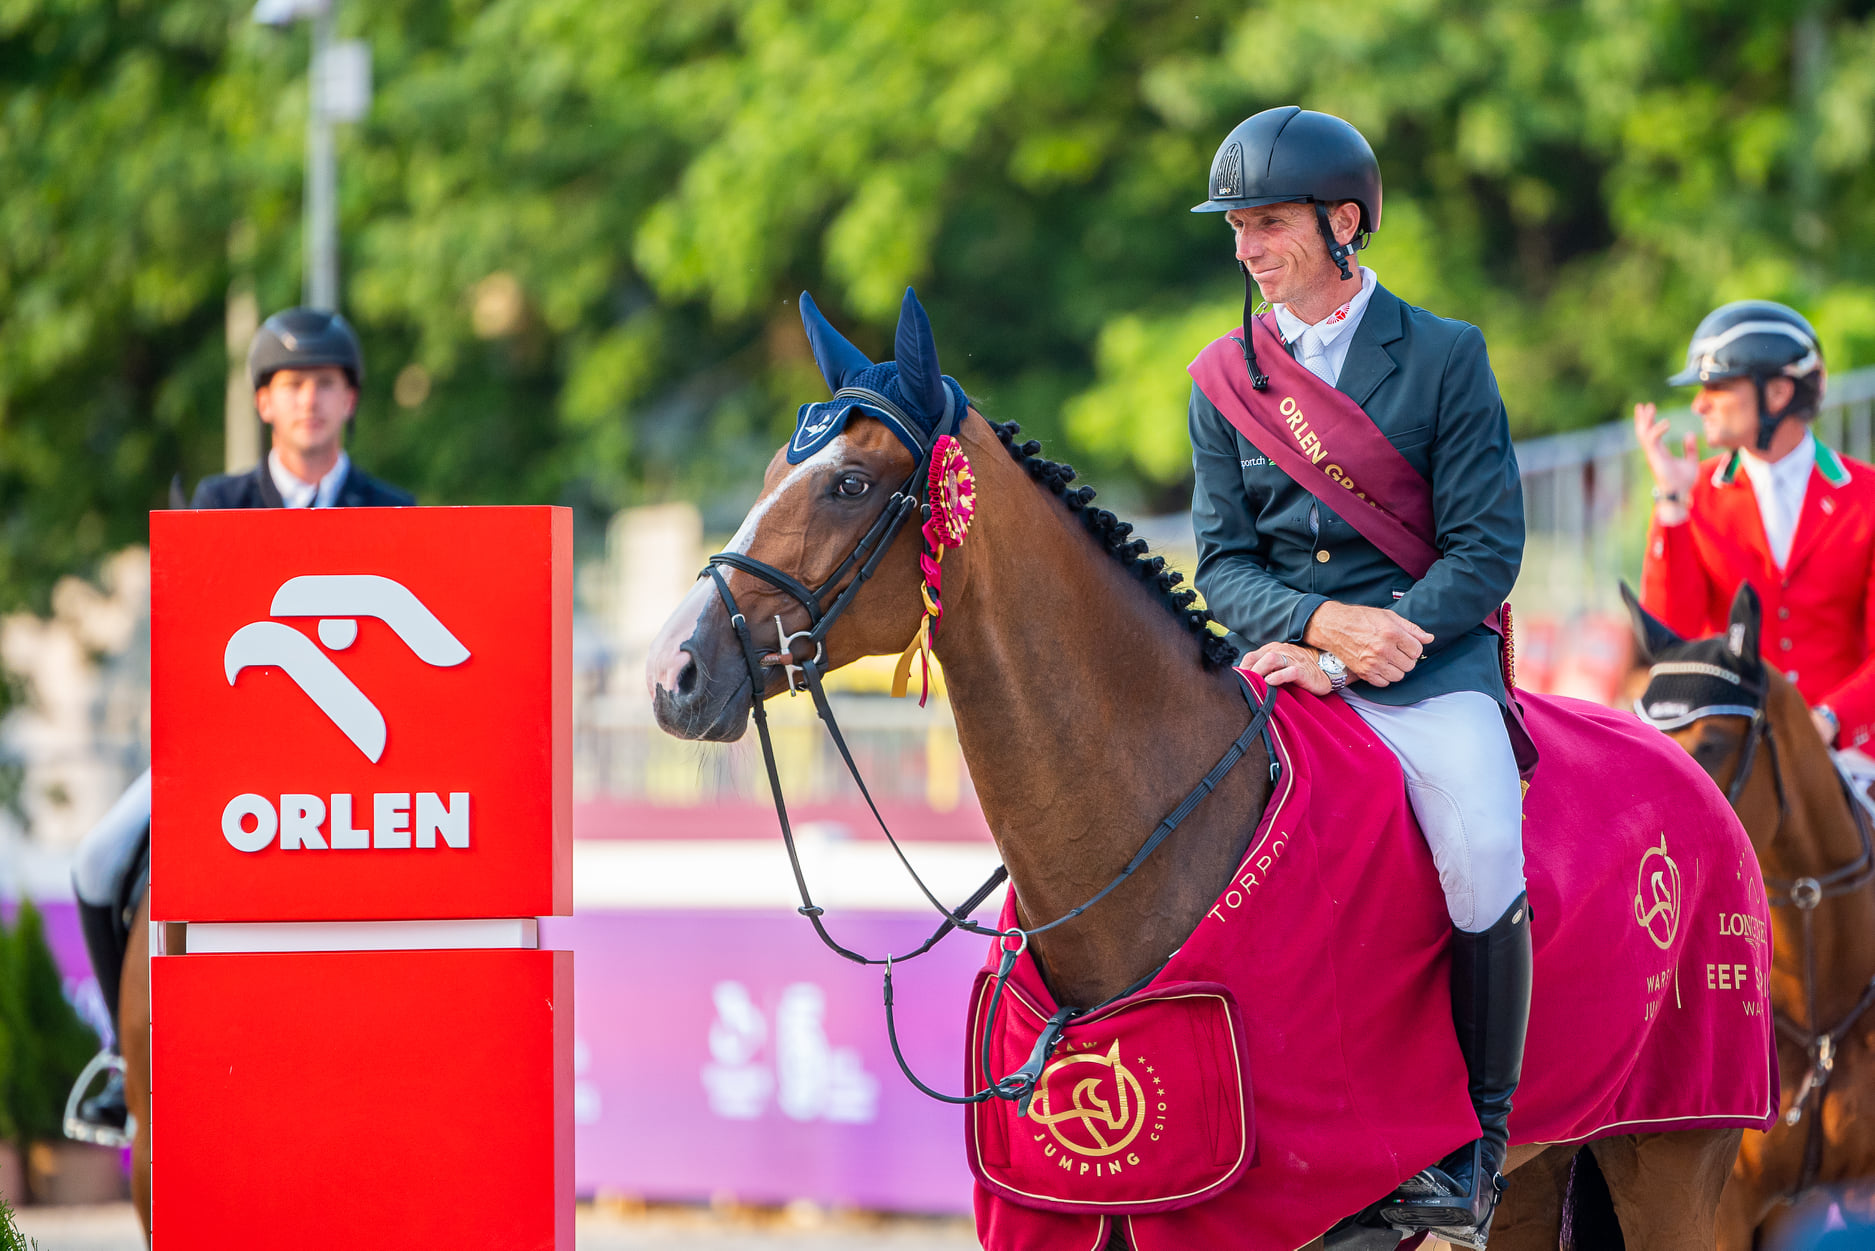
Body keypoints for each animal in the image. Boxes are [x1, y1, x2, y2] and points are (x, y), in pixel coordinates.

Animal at [647, 289, 1762, 1250]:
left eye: (847, 483)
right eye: (769, 478)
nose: (674, 675)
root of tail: (1683, 765)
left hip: (1674, 1153)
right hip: (1544, 1170)